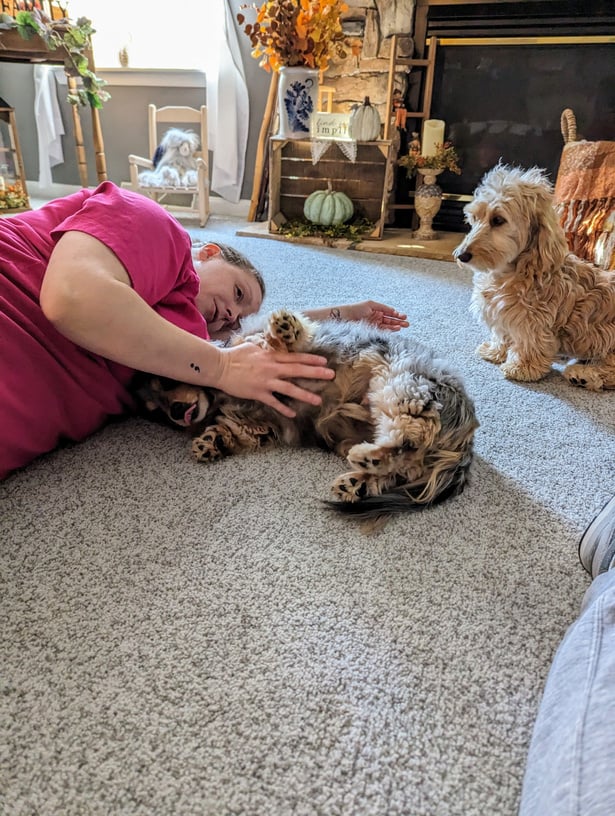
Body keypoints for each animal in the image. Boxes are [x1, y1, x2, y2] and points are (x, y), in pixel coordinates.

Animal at [452, 164, 615, 390]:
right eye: (474, 218)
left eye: (498, 220)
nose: (462, 255)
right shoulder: (502, 315)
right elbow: (502, 335)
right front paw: (495, 351)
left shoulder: (530, 321)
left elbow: (530, 344)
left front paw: (522, 367)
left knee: (609, 369)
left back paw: (583, 374)